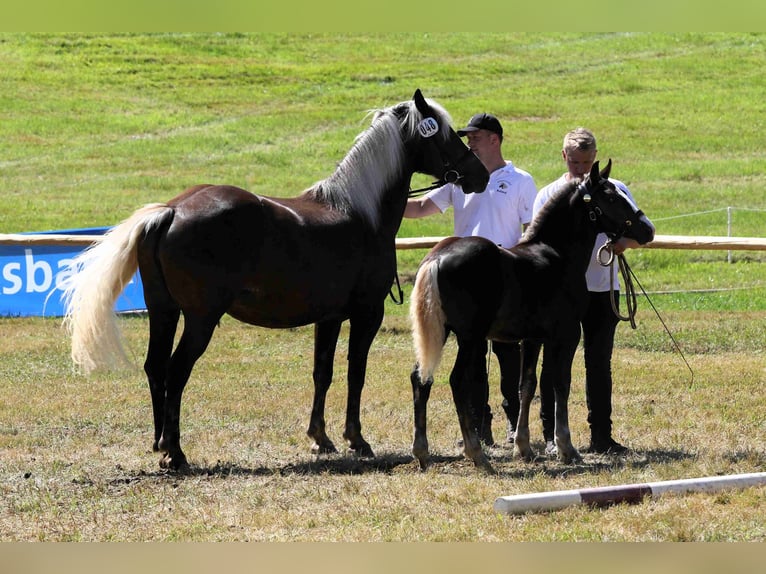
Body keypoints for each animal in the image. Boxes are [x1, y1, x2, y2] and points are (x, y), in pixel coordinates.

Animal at [63, 89, 488, 472]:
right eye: (445, 135)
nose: (480, 175)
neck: (359, 213)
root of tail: (171, 210)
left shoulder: (329, 318)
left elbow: (323, 372)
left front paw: (321, 439)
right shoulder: (367, 313)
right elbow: (356, 372)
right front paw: (357, 440)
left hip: (163, 312)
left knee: (155, 368)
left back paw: (159, 444)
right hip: (200, 320)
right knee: (176, 370)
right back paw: (175, 453)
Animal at [412, 161, 656, 472]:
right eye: (612, 197)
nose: (647, 230)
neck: (557, 254)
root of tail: (437, 258)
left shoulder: (531, 339)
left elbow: (525, 387)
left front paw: (524, 447)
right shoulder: (566, 335)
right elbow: (560, 384)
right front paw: (566, 448)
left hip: (440, 333)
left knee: (421, 379)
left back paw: (422, 453)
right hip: (469, 338)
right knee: (457, 381)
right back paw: (476, 454)